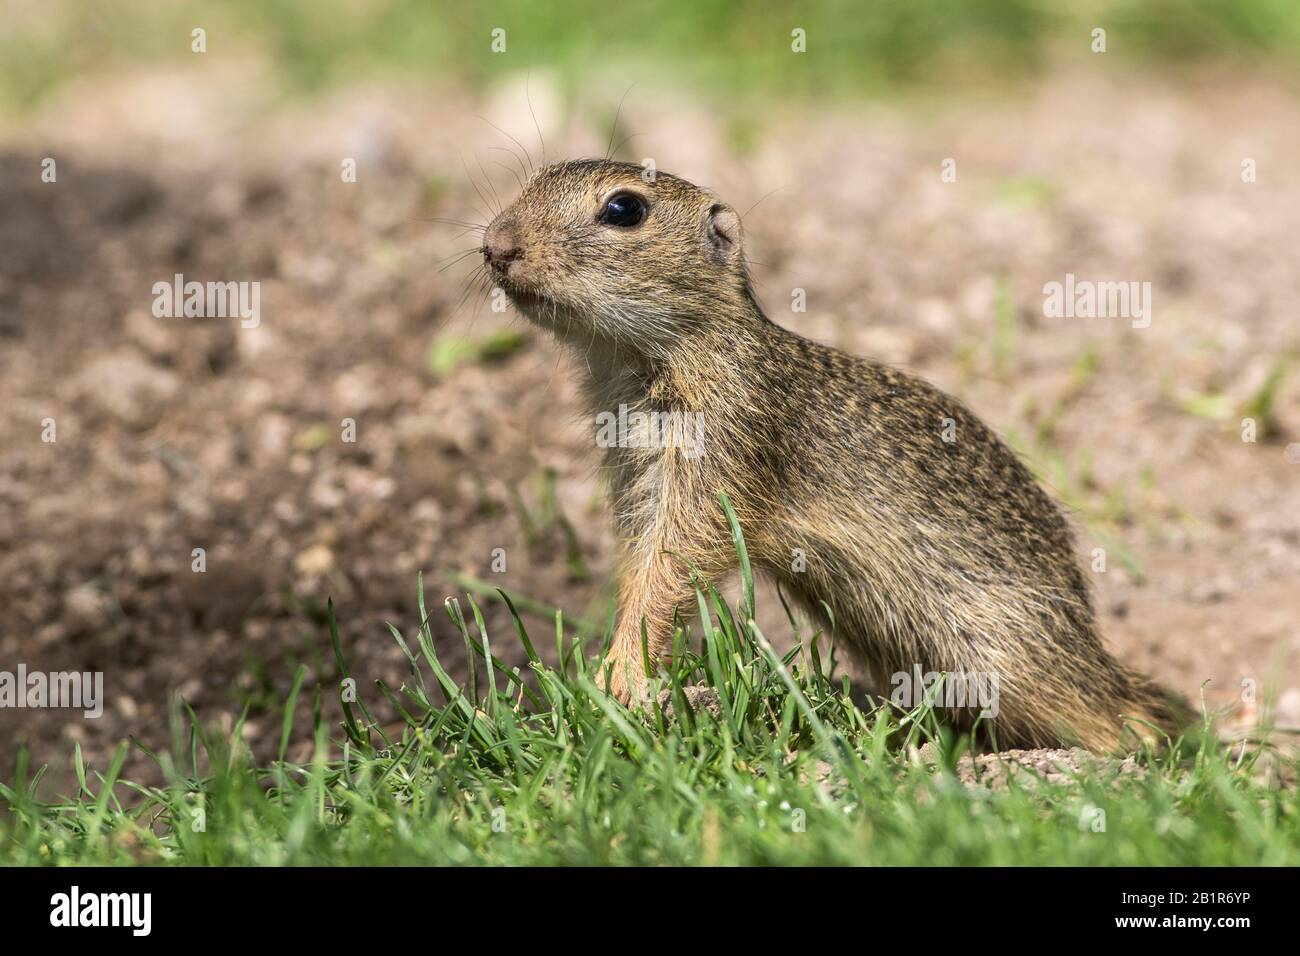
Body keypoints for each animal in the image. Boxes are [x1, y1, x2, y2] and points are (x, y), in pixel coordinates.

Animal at [480, 158, 1190, 754]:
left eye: (624, 208)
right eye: (536, 176)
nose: (495, 244)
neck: (638, 365)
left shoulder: (720, 455)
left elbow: (673, 569)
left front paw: (618, 680)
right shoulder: (634, 480)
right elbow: (638, 568)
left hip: (1009, 653)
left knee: (1109, 715)